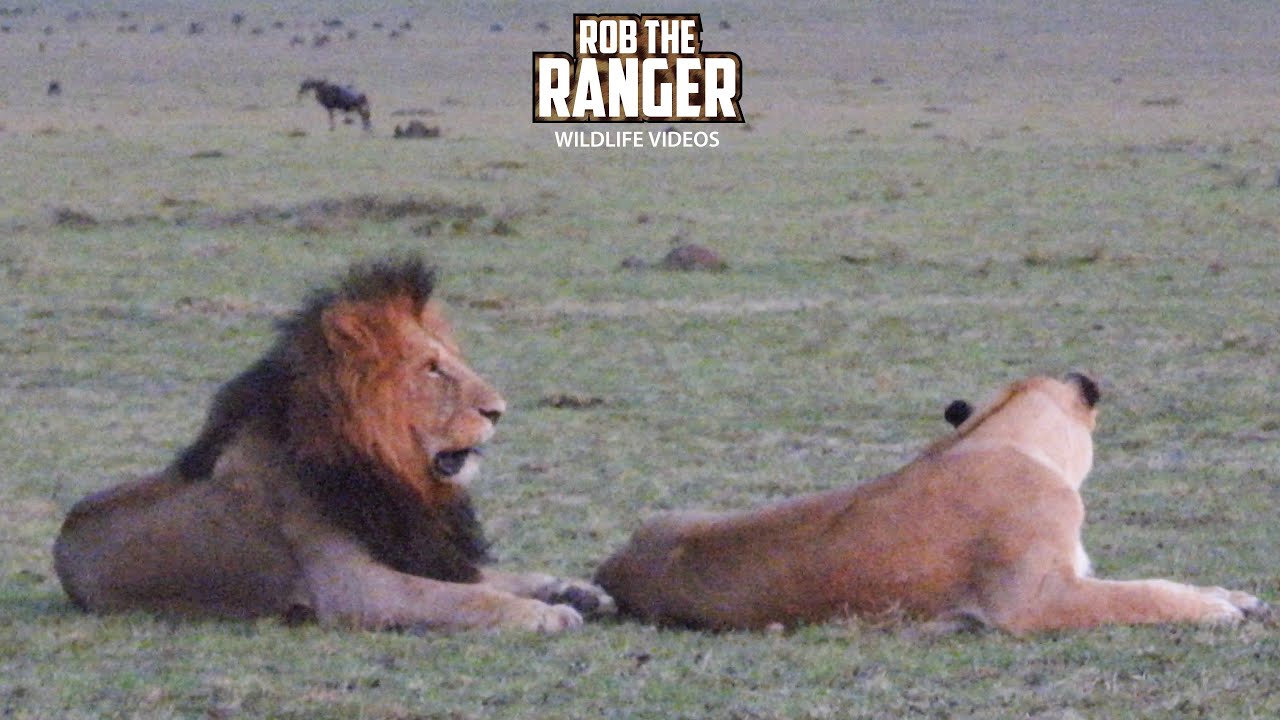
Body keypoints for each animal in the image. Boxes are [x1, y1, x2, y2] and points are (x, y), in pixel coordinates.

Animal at [54, 257, 613, 632]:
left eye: (450, 360)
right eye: (432, 369)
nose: (498, 409)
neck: (389, 473)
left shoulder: (417, 549)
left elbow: (498, 577)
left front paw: (575, 588)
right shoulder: (355, 590)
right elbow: (463, 599)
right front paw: (546, 613)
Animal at [594, 373, 1267, 634]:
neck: (1006, 434)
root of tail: (612, 568)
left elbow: (1158, 581)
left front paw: (1235, 597)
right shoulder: (1033, 601)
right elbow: (1140, 596)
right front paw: (1216, 611)